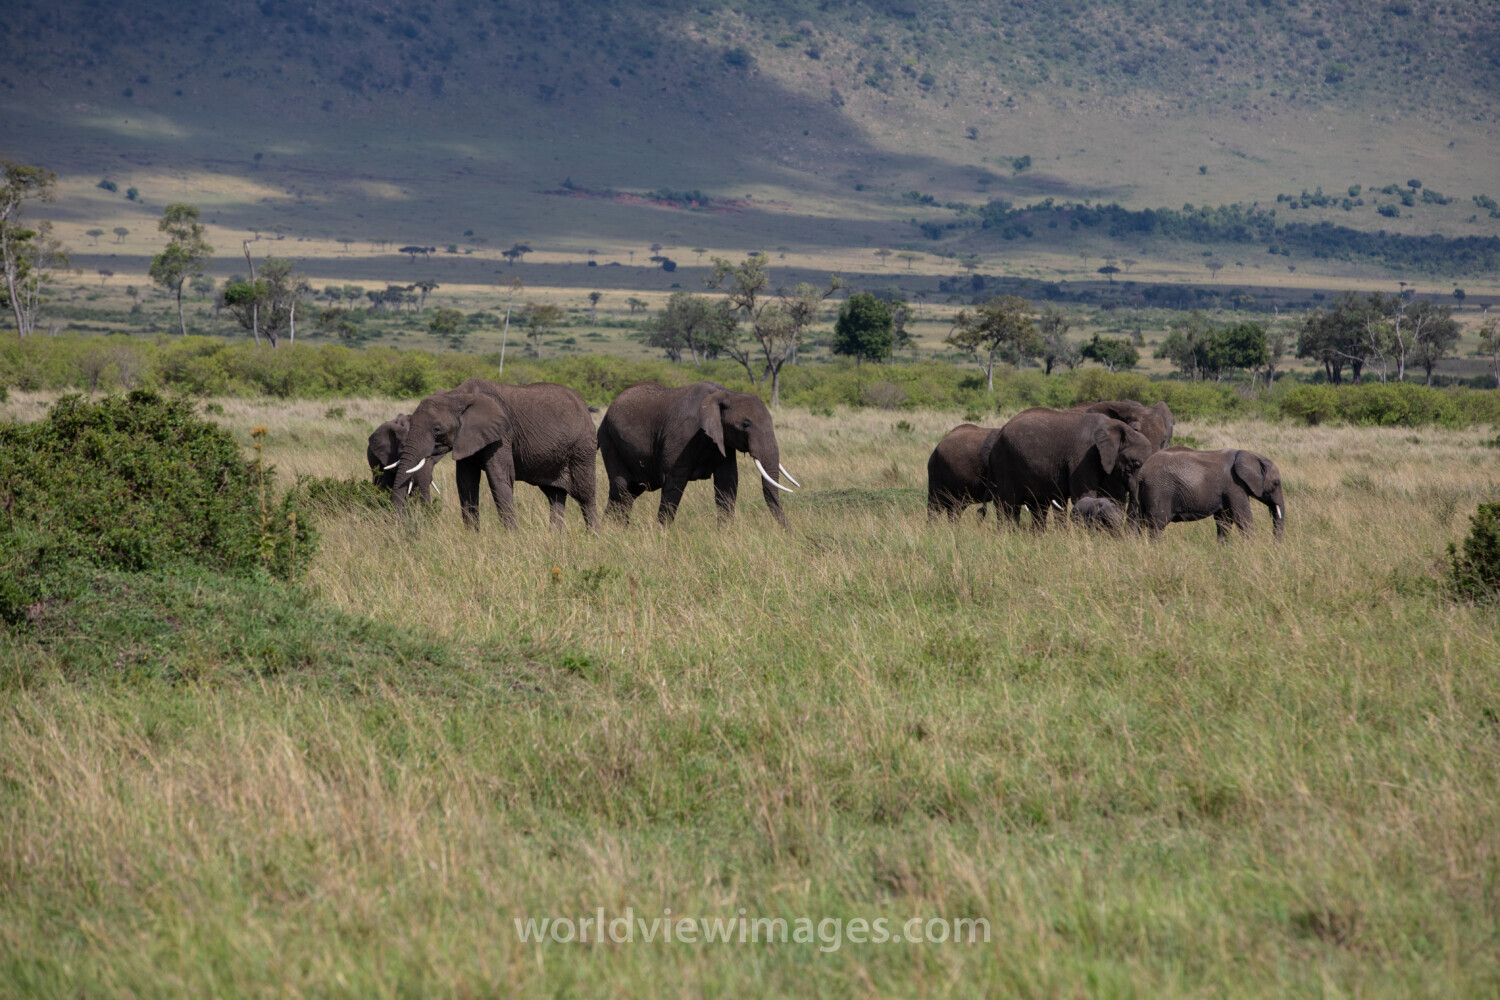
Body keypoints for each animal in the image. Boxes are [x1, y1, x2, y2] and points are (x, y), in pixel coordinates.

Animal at [389, 378, 598, 531]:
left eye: (437, 429)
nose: (399, 526)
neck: (457, 395)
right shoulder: (468, 438)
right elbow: (465, 482)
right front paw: (472, 538)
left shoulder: (502, 436)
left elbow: (499, 478)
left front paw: (512, 537)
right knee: (555, 495)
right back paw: (555, 537)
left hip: (582, 448)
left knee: (585, 495)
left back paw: (592, 537)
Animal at [597, 381, 797, 528]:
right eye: (745, 425)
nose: (789, 533)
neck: (726, 393)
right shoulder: (681, 436)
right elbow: (673, 482)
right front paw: (662, 534)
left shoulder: (722, 439)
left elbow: (728, 481)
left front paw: (726, 535)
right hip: (610, 440)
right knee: (622, 489)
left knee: (629, 492)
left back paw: (613, 531)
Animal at [988, 407, 1157, 528]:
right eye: (1136, 464)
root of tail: (1001, 430)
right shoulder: (1084, 455)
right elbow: (1084, 494)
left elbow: (1112, 496)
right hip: (1004, 460)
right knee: (1008, 504)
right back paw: (1008, 533)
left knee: (1038, 506)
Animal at [1131, 447, 1284, 541]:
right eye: (1276, 483)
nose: (1275, 544)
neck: (1248, 455)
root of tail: (1142, 473)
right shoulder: (1235, 486)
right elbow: (1242, 516)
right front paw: (1251, 548)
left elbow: (1223, 520)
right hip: (1159, 490)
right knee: (1157, 525)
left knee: (1140, 523)